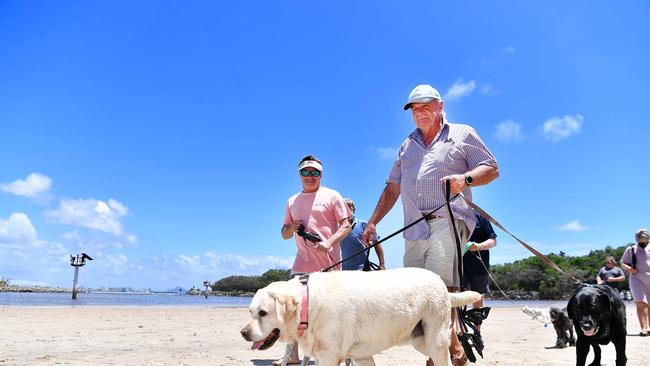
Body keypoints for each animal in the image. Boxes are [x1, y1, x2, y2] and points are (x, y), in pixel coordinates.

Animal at [240, 266, 478, 366]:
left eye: (263, 313)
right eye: (250, 312)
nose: (243, 332)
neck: (309, 305)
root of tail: (442, 284)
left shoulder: (329, 356)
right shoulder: (360, 356)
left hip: (434, 340)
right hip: (420, 340)